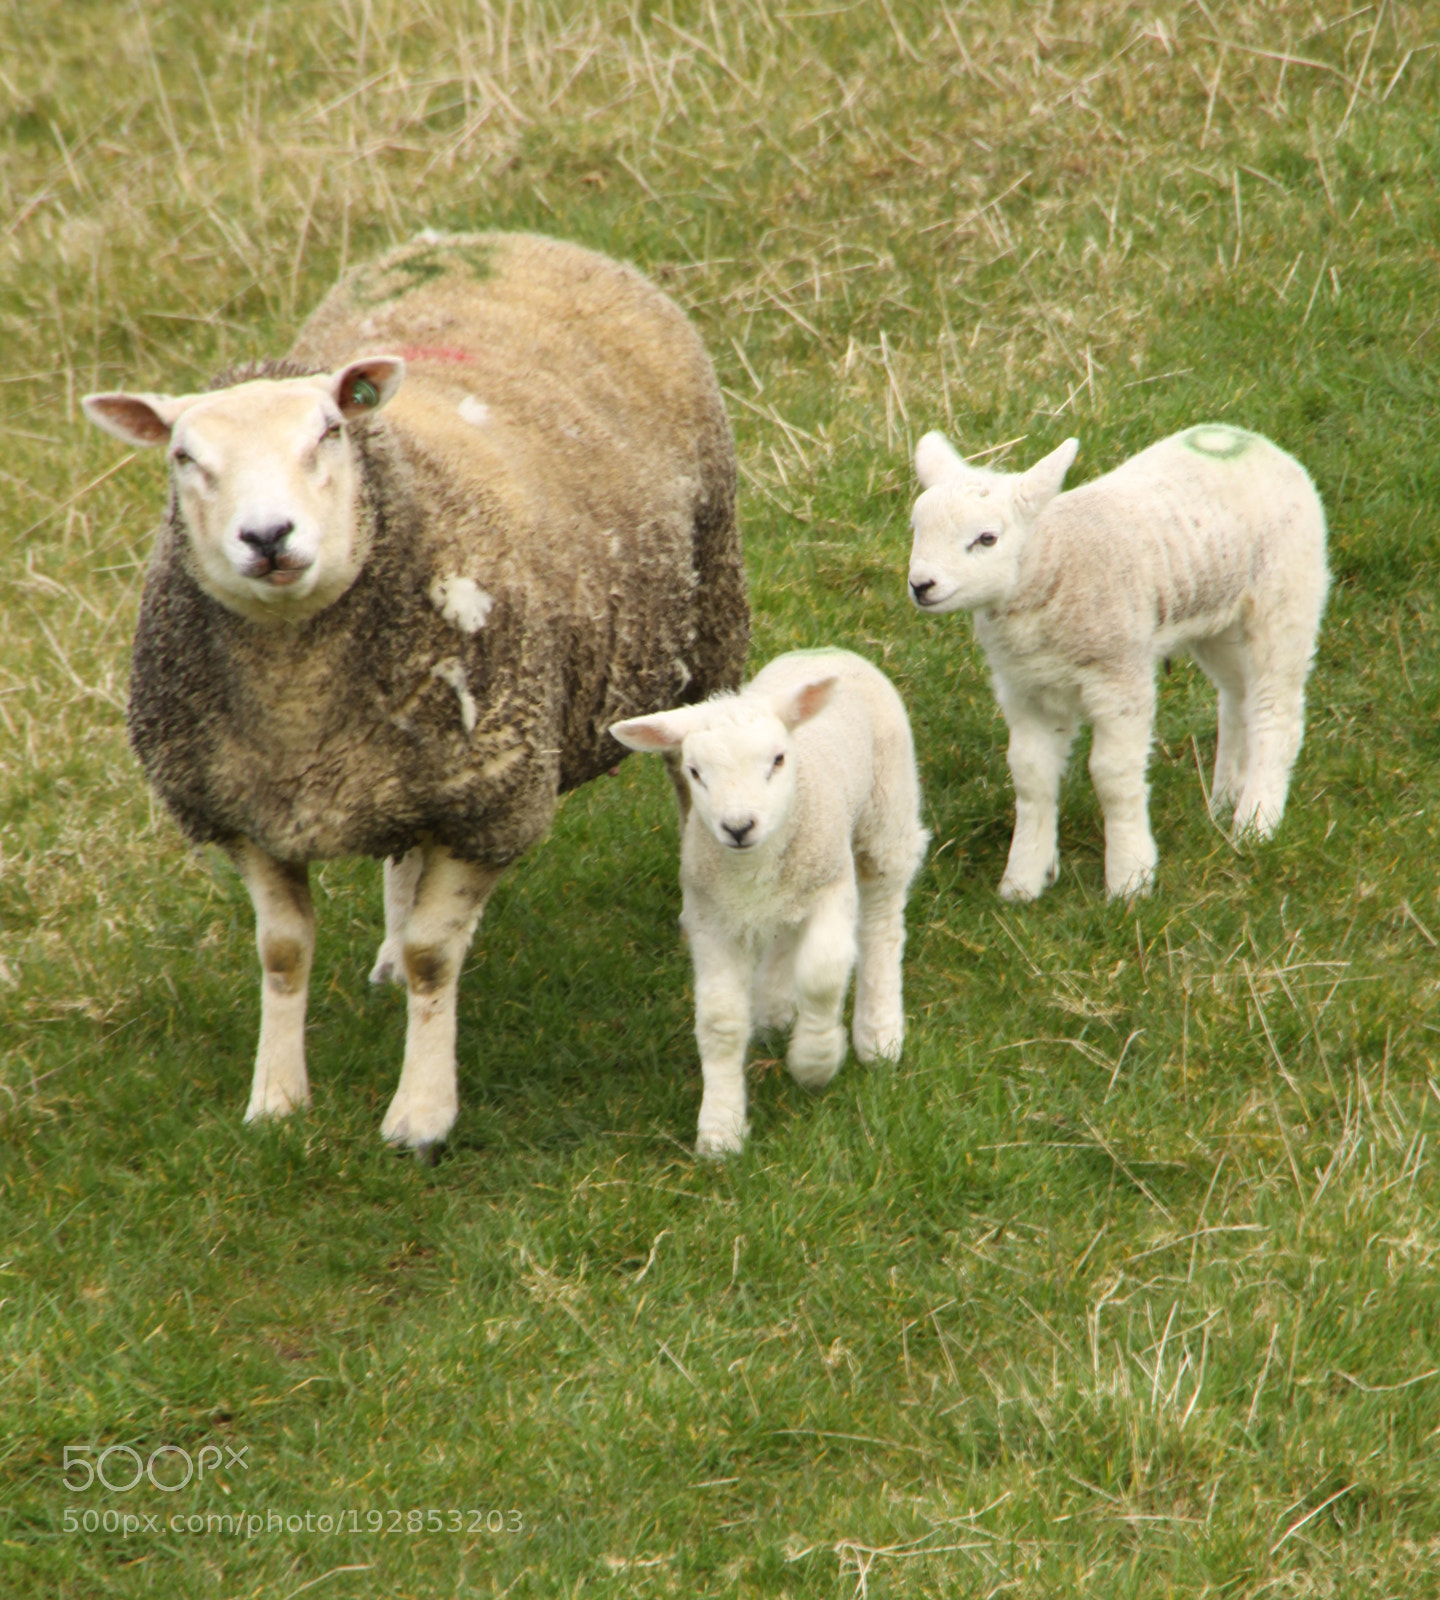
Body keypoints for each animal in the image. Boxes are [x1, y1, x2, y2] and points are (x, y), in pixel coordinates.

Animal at [81, 230, 748, 1151]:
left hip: (708, 620)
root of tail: (502, 235)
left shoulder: (492, 804)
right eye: (184, 457)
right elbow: (282, 953)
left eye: (328, 433)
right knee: (404, 850)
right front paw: (276, 1099)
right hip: (412, 762)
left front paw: (422, 1115)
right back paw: (389, 955)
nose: (267, 536)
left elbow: (441, 957)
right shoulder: (244, 815)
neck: (298, 703)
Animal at [611, 648, 928, 1157]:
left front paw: (815, 1061)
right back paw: (775, 1011)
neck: (752, 865)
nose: (738, 826)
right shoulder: (710, 917)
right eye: (695, 772)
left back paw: (878, 1032)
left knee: (882, 921)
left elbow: (822, 975)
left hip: (886, 814)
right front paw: (720, 1129)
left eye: (777, 760)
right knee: (784, 936)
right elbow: (720, 1020)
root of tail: (826, 651)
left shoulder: (832, 884)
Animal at [906, 424, 1328, 900]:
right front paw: (1023, 880)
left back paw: (1256, 820)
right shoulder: (1026, 686)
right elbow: (1031, 775)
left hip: (1287, 595)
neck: (1055, 563)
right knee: (1238, 697)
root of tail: (1243, 436)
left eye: (987, 539)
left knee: (1276, 709)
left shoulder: (1119, 676)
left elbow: (1113, 775)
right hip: (1217, 619)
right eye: (916, 529)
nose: (921, 585)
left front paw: (1130, 878)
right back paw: (1224, 799)